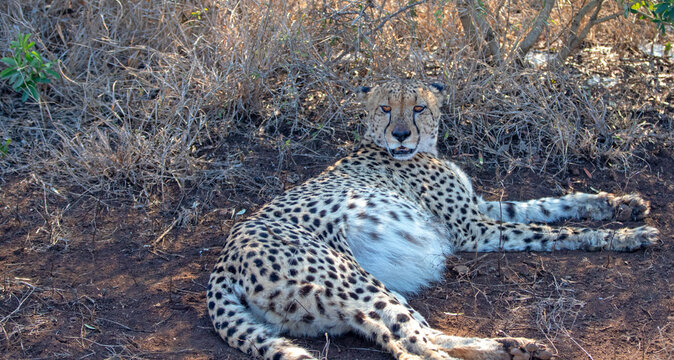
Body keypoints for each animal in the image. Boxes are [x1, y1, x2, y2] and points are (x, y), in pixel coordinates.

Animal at [206, 79, 656, 360]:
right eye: (386, 109)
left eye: (418, 108)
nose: (401, 134)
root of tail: (225, 259)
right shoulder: (474, 229)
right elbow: (551, 231)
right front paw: (622, 236)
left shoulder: (480, 211)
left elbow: (549, 206)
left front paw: (621, 205)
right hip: (354, 279)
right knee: (417, 342)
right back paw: (508, 346)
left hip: (336, 305)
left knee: (409, 336)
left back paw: (511, 345)